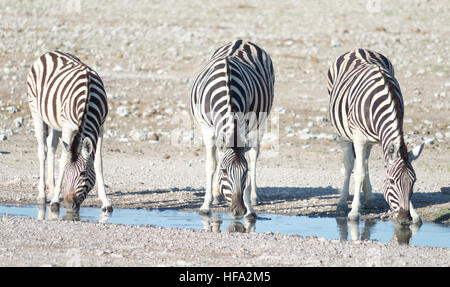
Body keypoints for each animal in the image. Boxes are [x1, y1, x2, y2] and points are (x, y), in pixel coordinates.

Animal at [27, 51, 112, 214]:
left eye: (83, 174)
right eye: (66, 173)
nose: (67, 204)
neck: (88, 98)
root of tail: (49, 52)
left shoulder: (100, 127)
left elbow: (98, 163)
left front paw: (105, 202)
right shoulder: (67, 127)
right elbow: (63, 160)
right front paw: (54, 202)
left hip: (55, 122)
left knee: (52, 146)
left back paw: (52, 190)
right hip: (36, 110)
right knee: (43, 150)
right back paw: (43, 195)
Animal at [190, 40, 274, 220]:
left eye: (245, 172)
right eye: (224, 172)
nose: (238, 211)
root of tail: (243, 40)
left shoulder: (246, 124)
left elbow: (248, 159)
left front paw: (250, 208)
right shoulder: (207, 128)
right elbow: (212, 163)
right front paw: (206, 205)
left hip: (261, 121)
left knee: (254, 154)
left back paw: (254, 196)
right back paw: (216, 194)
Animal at [326, 47, 422, 225]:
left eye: (414, 181)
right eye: (392, 181)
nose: (405, 219)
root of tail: (358, 49)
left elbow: (364, 168)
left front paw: (415, 214)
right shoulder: (358, 137)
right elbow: (358, 173)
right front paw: (354, 212)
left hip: (370, 140)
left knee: (364, 162)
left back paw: (369, 198)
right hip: (343, 133)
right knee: (350, 164)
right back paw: (342, 202)